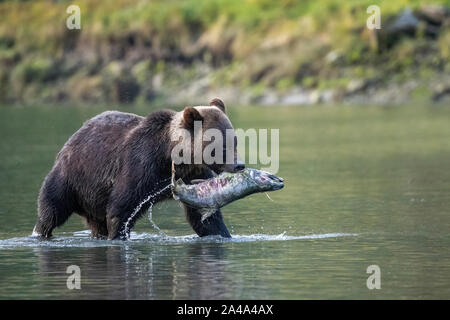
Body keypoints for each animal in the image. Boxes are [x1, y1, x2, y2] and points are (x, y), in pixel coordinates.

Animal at [33, 99, 244, 239]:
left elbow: (203, 216)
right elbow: (121, 207)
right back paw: (40, 231)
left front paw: (221, 232)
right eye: (221, 145)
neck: (171, 156)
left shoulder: (193, 176)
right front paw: (118, 235)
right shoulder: (141, 166)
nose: (239, 164)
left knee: (96, 222)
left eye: (234, 140)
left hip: (93, 197)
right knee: (51, 209)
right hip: (72, 177)